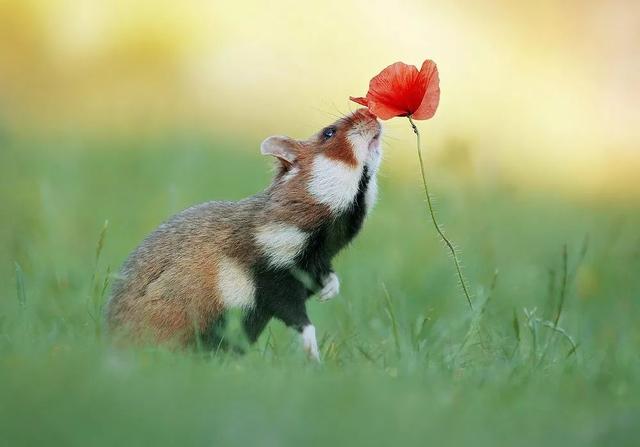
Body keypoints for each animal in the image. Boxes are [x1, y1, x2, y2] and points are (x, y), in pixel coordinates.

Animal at [105, 107, 382, 360]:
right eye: (329, 132)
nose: (370, 112)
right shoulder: (274, 281)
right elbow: (301, 322)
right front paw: (313, 356)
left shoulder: (312, 266)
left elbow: (327, 278)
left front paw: (329, 293)